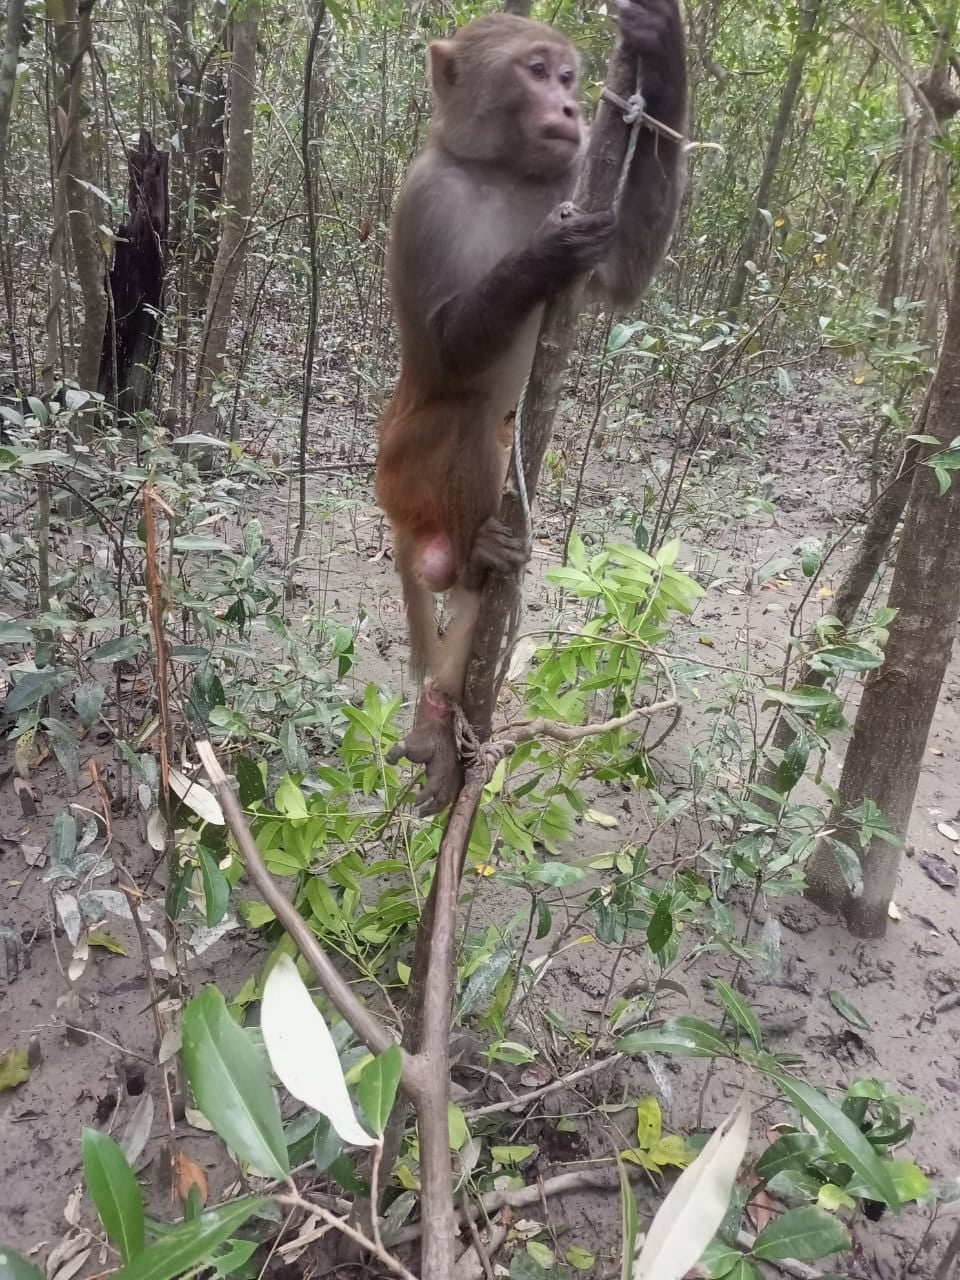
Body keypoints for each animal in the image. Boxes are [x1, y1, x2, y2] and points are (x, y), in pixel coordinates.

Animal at [376, 0, 687, 815]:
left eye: (571, 76)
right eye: (537, 71)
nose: (571, 107)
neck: (501, 172)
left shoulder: (572, 177)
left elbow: (624, 276)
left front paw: (662, 53)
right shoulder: (424, 197)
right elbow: (446, 352)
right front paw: (544, 258)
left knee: (484, 592)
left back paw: (442, 717)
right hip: (398, 471)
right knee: (464, 415)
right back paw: (479, 555)